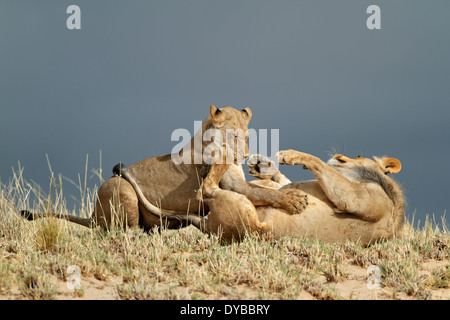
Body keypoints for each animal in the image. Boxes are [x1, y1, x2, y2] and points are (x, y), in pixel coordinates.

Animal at [18, 106, 306, 231]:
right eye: (234, 136)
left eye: (247, 137)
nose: (244, 156)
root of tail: (92, 215)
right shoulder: (229, 184)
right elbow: (265, 192)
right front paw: (294, 201)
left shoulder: (234, 183)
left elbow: (263, 190)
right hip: (120, 186)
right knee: (120, 229)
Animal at [199, 149, 406, 245]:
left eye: (358, 155)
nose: (338, 155)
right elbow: (284, 180)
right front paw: (262, 165)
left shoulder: (356, 198)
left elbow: (318, 161)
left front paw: (289, 155)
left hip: (246, 215)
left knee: (208, 188)